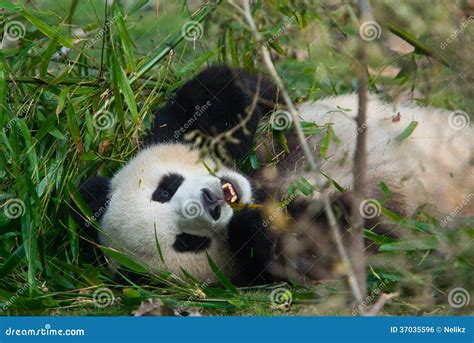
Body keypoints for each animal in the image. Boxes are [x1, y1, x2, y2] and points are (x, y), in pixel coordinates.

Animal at [72, 64, 472, 284]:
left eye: (165, 189)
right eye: (187, 243)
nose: (210, 201)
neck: (259, 184)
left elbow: (223, 89)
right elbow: (328, 253)